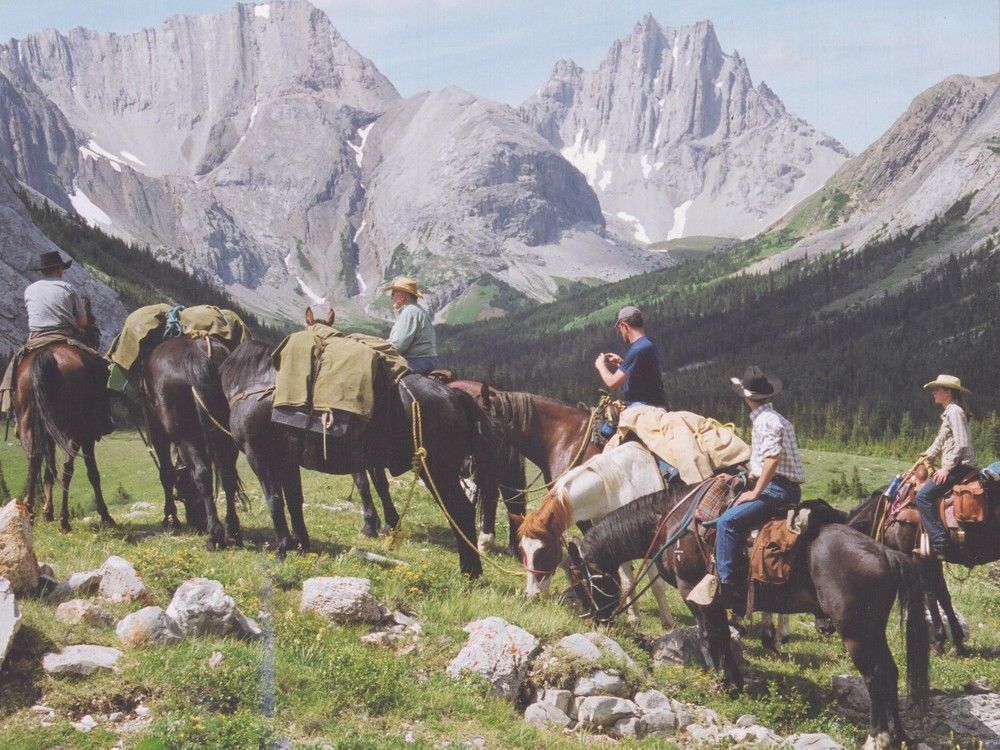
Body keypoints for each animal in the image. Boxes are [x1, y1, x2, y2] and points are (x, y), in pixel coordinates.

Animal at [220, 340, 500, 576]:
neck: (254, 383)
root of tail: (453, 396)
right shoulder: (287, 462)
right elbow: (294, 501)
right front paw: (300, 545)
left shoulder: (260, 457)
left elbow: (274, 502)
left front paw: (282, 550)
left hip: (438, 471)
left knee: (460, 511)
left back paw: (470, 571)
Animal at [564, 488, 928, 750]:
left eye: (580, 580)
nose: (592, 619)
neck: (671, 525)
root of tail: (886, 553)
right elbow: (723, 639)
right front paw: (734, 684)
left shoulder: (695, 594)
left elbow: (711, 638)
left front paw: (720, 683)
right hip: (873, 630)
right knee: (890, 673)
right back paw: (897, 736)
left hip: (855, 631)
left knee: (875, 676)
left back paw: (876, 736)